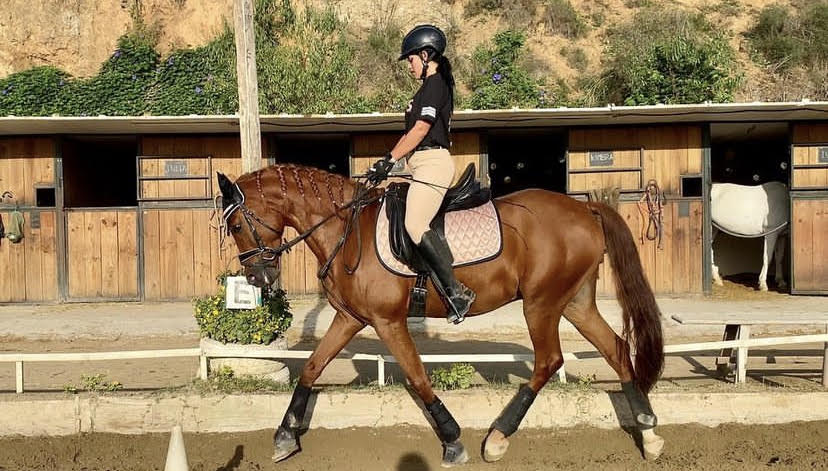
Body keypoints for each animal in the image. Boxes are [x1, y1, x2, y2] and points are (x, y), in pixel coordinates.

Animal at [216, 163, 665, 466]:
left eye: (236, 225)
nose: (256, 278)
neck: (346, 230)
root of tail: (585, 210)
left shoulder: (387, 321)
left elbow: (417, 376)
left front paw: (452, 439)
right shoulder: (350, 318)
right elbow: (311, 367)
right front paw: (284, 436)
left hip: (541, 304)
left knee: (549, 360)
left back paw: (497, 438)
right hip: (574, 303)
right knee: (617, 349)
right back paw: (648, 431)